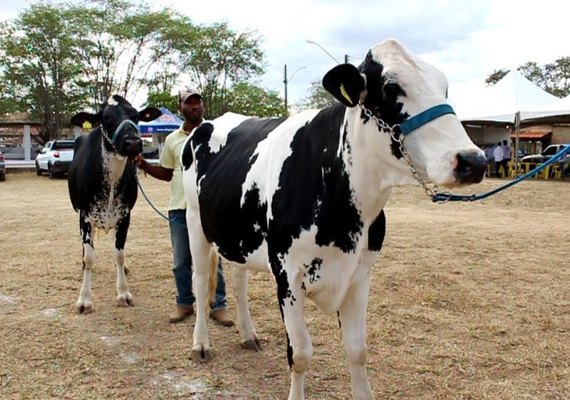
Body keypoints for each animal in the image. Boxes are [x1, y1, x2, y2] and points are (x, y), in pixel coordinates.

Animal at [67, 95, 160, 314]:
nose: (133, 142)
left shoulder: (125, 216)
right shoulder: (85, 216)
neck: (109, 182)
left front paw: (123, 293)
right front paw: (84, 299)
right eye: (106, 118)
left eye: (136, 116)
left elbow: (119, 255)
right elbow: (89, 257)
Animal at [181, 38, 484, 400]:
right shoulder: (288, 276)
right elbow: (300, 354)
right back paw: (201, 344)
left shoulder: (360, 274)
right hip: (194, 219)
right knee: (200, 280)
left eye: (445, 88)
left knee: (239, 279)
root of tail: (208, 123)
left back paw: (248, 335)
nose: (473, 161)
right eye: (391, 87)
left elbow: (357, 349)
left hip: (238, 234)